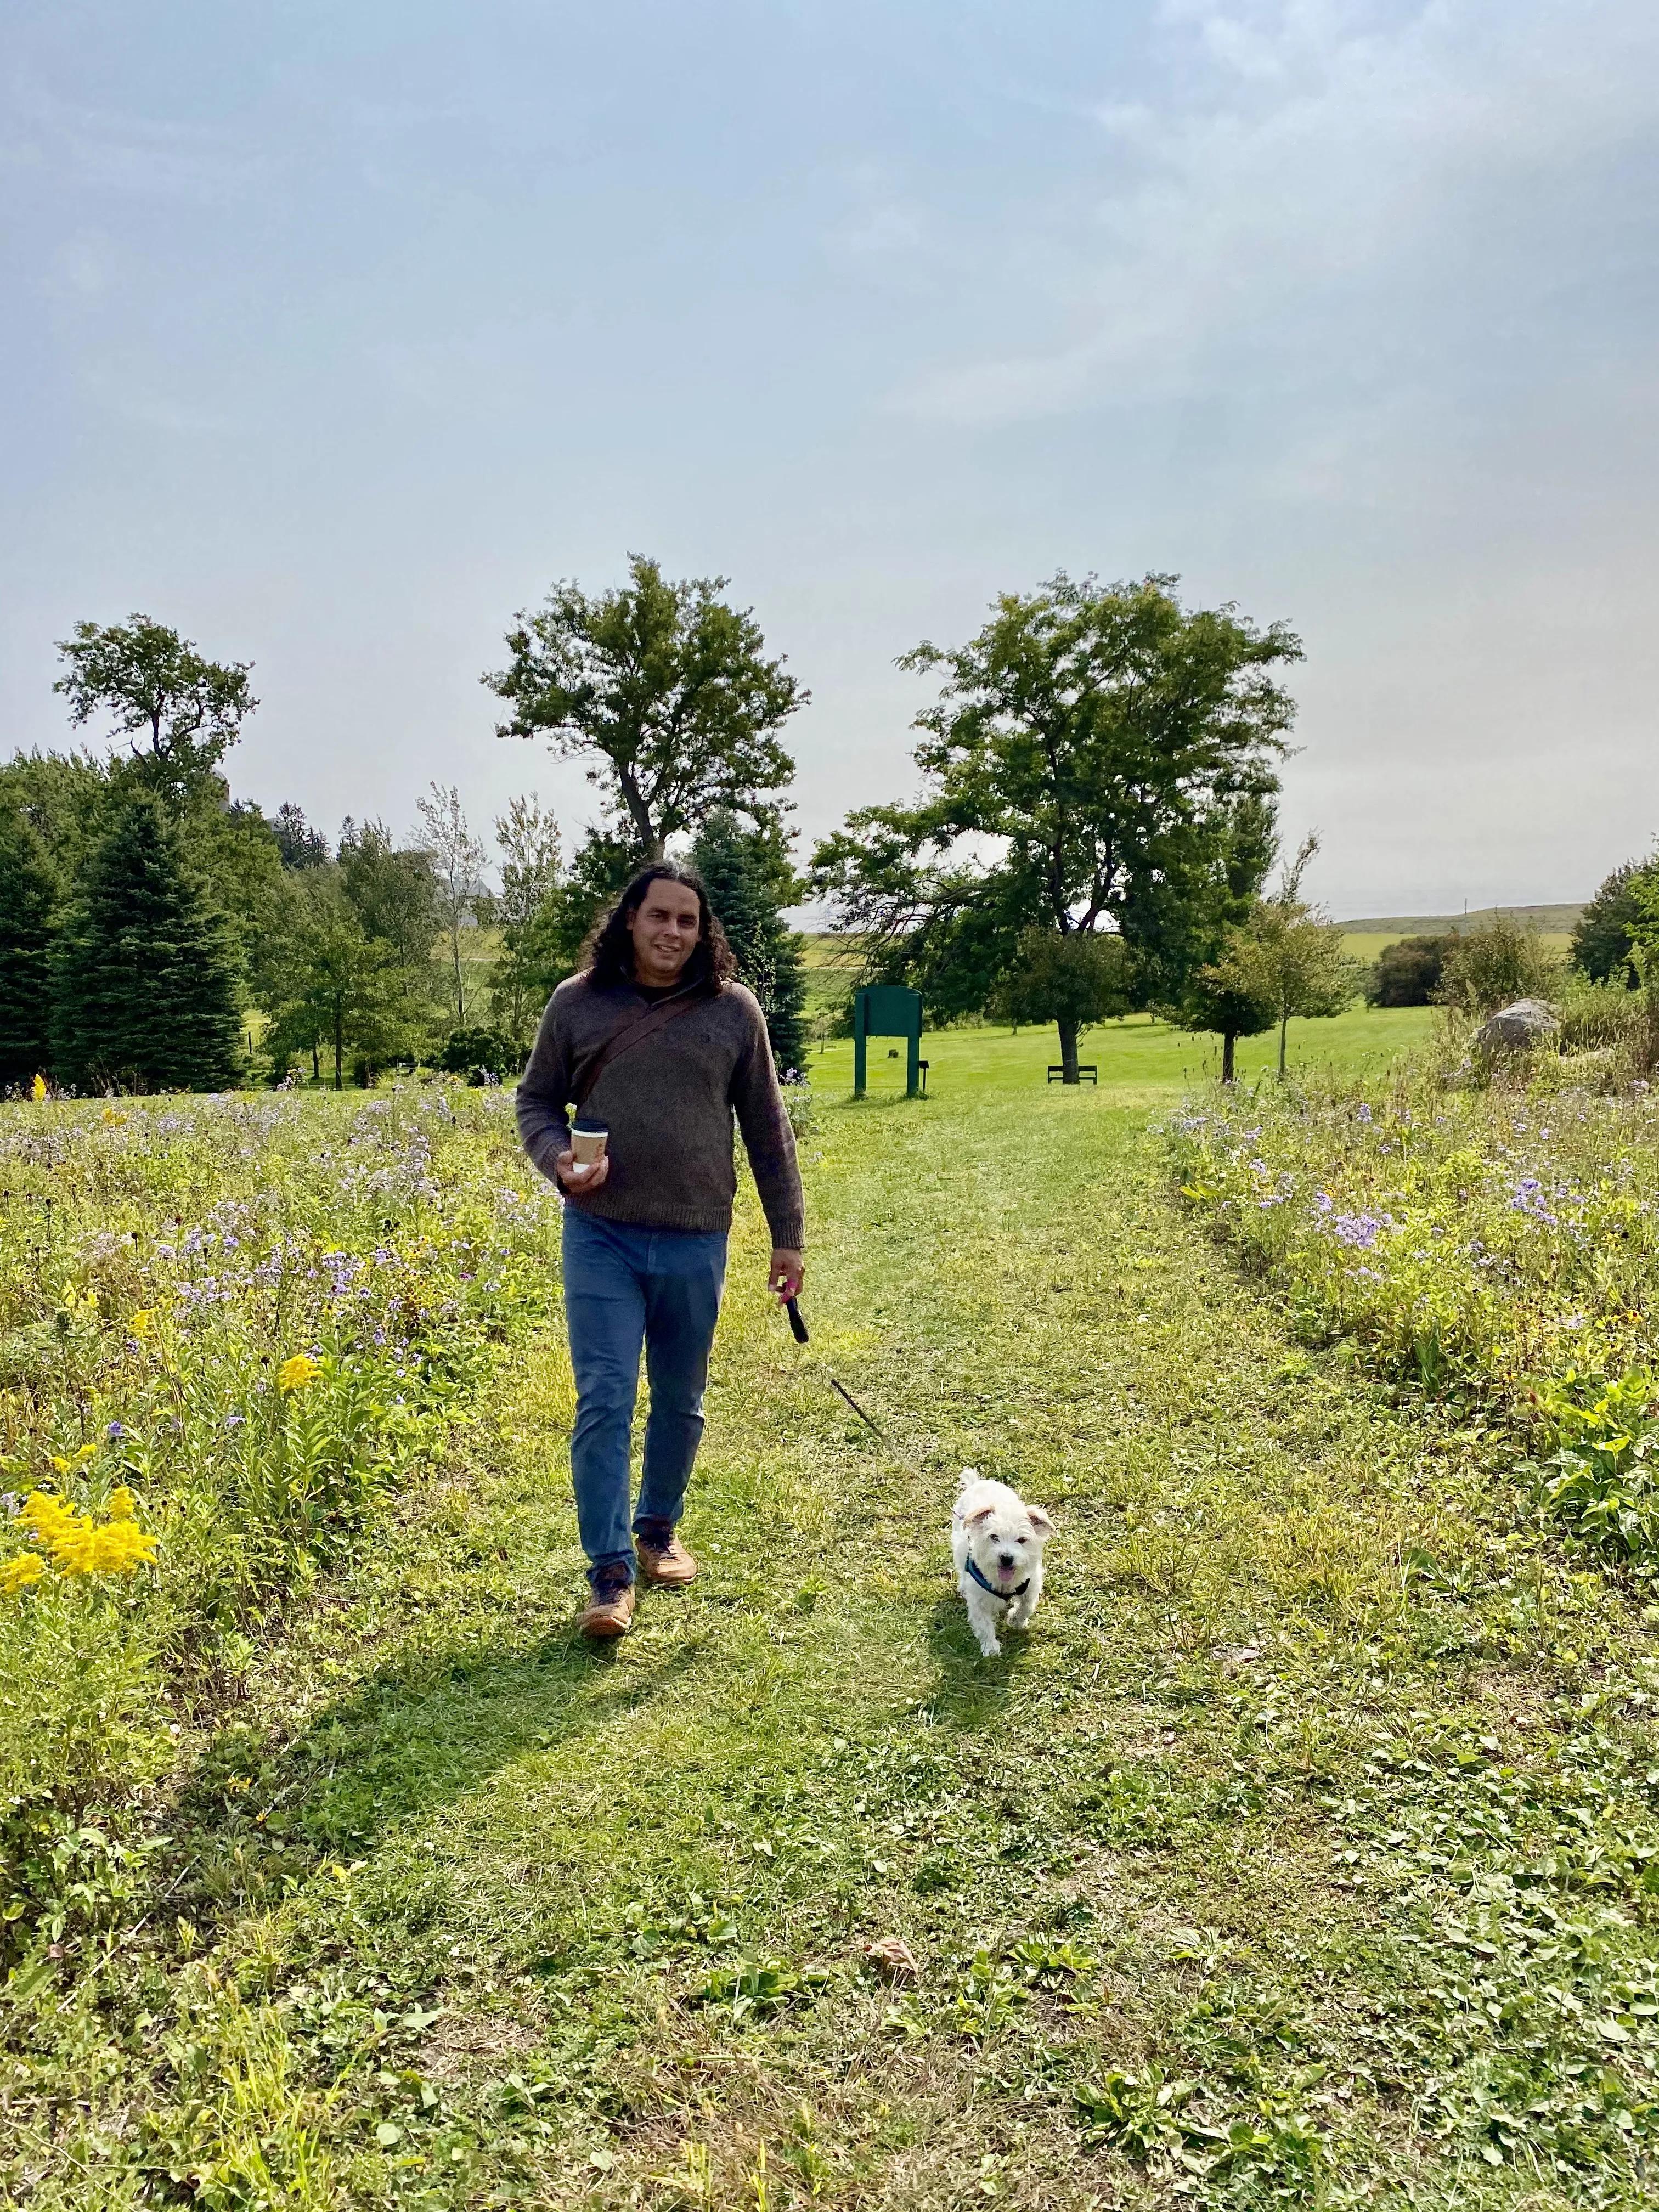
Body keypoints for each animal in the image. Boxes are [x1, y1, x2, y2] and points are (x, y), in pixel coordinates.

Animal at [955, 1469, 1057, 1663]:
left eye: (1022, 1540)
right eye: (994, 1537)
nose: (1006, 1558)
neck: (1005, 1584)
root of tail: (977, 1483)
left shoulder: (1031, 1586)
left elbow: (1026, 1608)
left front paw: (1016, 1621)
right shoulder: (978, 1600)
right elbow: (984, 1624)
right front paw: (990, 1647)